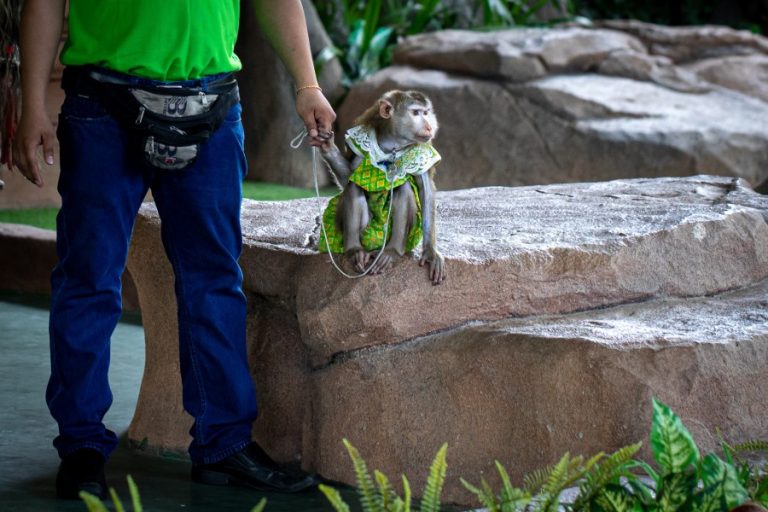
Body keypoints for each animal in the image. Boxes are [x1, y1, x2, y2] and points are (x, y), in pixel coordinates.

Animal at [316, 90, 448, 286]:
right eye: (416, 113)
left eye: (426, 113)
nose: (428, 126)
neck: (393, 144)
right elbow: (350, 176)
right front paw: (327, 147)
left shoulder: (421, 150)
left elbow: (425, 191)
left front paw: (431, 252)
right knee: (354, 186)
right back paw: (354, 250)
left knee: (404, 187)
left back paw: (391, 252)